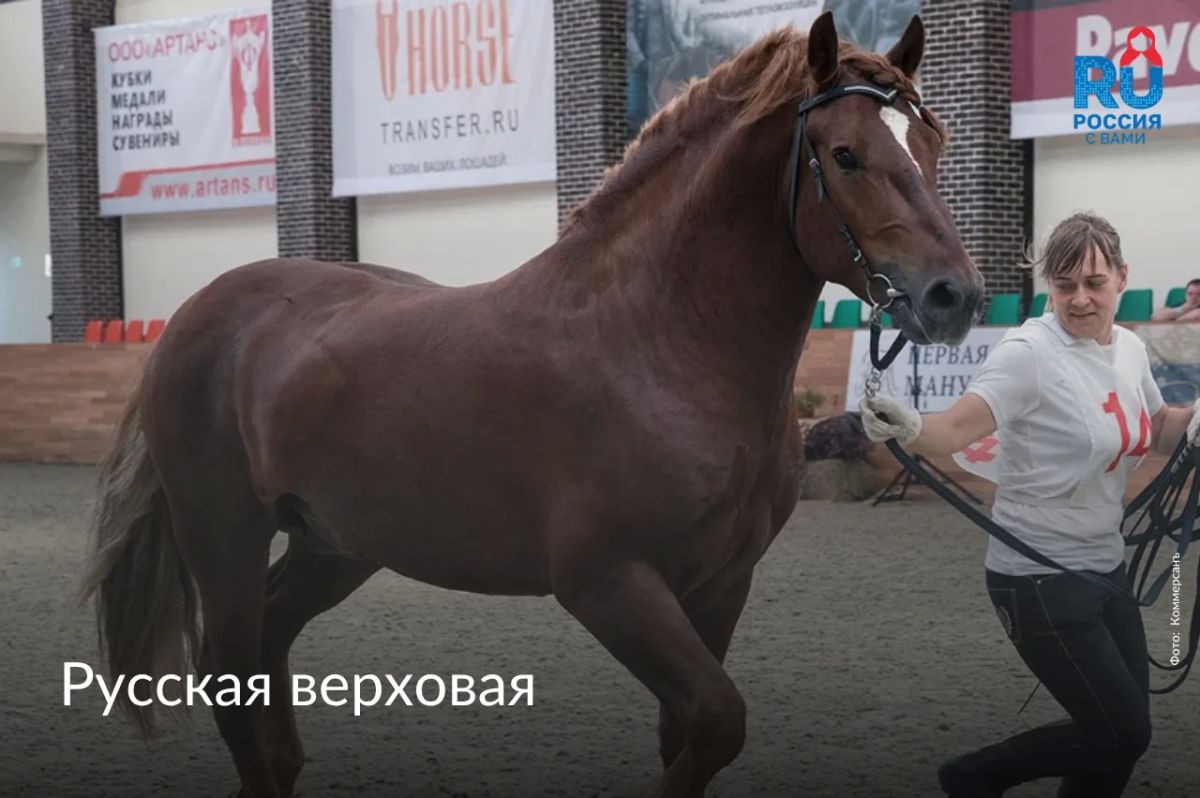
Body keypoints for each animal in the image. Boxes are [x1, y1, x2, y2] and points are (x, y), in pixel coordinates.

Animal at [81, 12, 983, 798]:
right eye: (846, 154)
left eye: (932, 143)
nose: (955, 298)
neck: (658, 341)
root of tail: (197, 314)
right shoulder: (606, 581)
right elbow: (718, 721)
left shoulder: (722, 583)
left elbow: (687, 734)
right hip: (223, 536)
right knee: (230, 671)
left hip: (334, 545)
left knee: (268, 648)